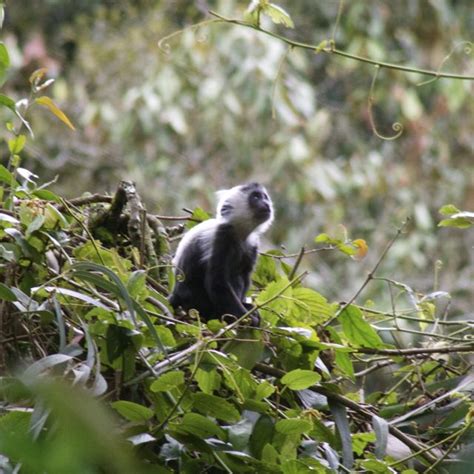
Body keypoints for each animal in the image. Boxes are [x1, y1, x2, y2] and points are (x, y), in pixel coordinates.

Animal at [170, 182, 274, 326]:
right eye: (256, 197)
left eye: (264, 197)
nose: (266, 203)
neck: (239, 234)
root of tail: (176, 295)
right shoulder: (221, 237)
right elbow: (217, 283)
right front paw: (245, 318)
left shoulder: (252, 244)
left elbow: (244, 277)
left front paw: (248, 310)